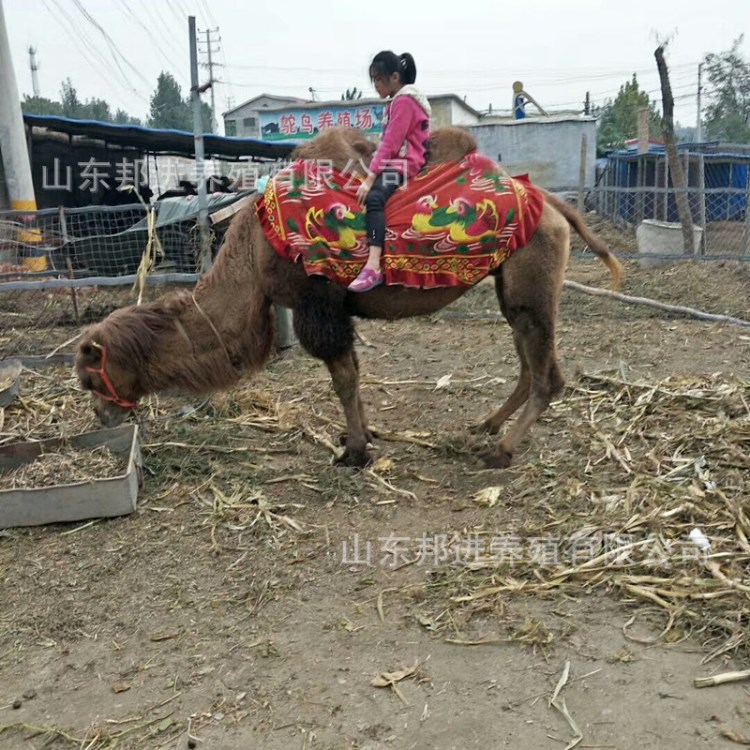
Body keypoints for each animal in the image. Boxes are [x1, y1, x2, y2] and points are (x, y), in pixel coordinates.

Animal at [75, 129, 624, 470]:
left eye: (88, 377)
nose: (101, 418)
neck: (254, 247)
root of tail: (550, 203)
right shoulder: (333, 310)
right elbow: (354, 375)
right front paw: (362, 437)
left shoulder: (317, 304)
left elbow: (342, 379)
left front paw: (355, 453)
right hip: (513, 289)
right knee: (531, 361)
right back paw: (486, 426)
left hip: (532, 285)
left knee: (548, 374)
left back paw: (502, 451)